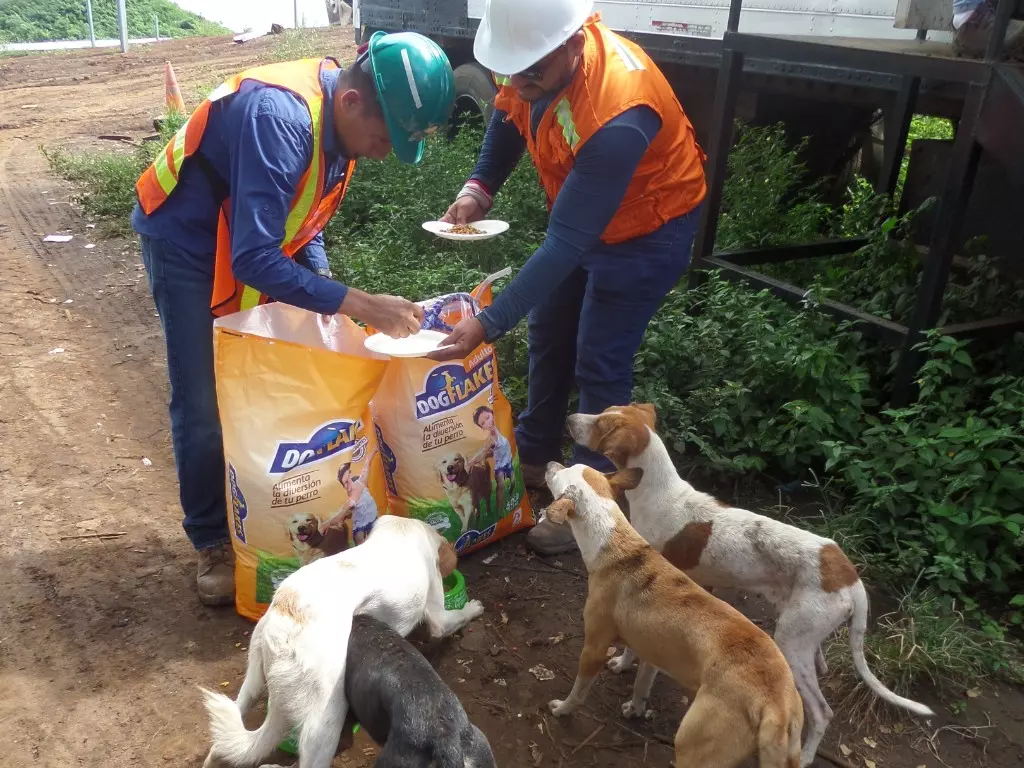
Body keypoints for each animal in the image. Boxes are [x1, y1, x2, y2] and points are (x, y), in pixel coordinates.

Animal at [540, 462, 802, 768]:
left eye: (561, 474)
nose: (550, 464)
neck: (616, 545)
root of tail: (776, 705)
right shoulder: (653, 647)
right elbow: (640, 681)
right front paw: (634, 704)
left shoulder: (593, 648)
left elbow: (579, 691)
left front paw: (562, 708)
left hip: (692, 746)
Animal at [569, 405, 937, 765]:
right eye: (604, 412)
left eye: (602, 423)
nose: (571, 418)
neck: (659, 495)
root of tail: (851, 577)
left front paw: (624, 667)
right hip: (805, 636)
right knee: (820, 667)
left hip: (791, 641)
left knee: (822, 712)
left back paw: (806, 755)